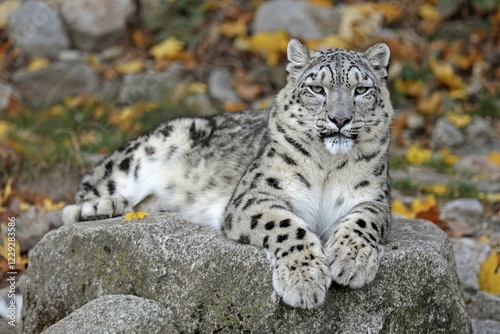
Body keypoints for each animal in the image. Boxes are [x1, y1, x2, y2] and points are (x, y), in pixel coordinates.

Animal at [62, 39, 392, 310]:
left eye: (361, 90)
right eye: (317, 88)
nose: (340, 119)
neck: (327, 166)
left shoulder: (377, 198)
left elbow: (365, 219)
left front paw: (352, 261)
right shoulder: (256, 193)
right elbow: (287, 226)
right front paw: (304, 281)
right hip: (145, 151)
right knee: (77, 199)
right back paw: (107, 206)